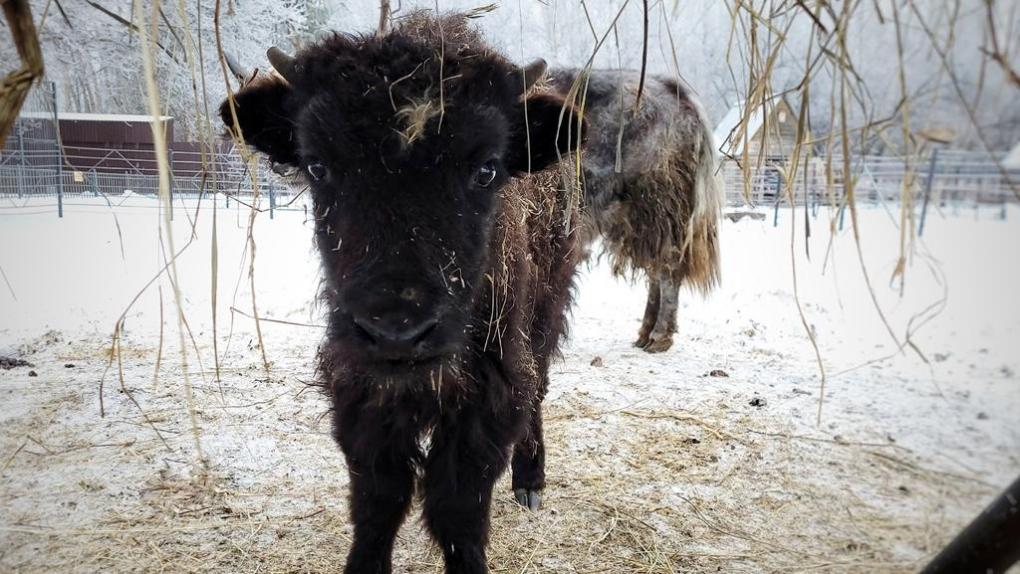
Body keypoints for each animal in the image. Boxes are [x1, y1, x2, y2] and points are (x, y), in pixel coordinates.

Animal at [222, 12, 583, 574]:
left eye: (487, 169)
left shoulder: (489, 389)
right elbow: (379, 496)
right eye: (318, 165)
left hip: (546, 311)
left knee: (539, 387)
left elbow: (457, 506)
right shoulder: (360, 385)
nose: (397, 329)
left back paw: (530, 482)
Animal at [550, 69, 726, 352]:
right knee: (656, 270)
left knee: (667, 269)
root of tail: (671, 88)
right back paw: (645, 333)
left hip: (659, 210)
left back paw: (658, 337)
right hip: (640, 220)